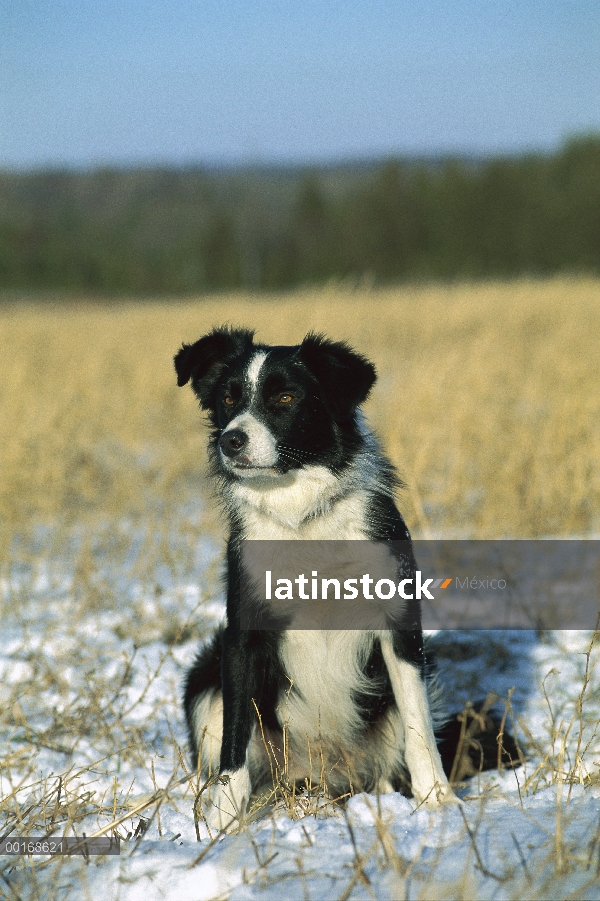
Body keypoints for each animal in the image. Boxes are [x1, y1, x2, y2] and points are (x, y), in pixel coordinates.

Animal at [172, 326, 516, 832]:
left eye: (286, 397)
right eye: (228, 398)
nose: (231, 441)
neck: (302, 516)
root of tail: (324, 773)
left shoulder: (400, 626)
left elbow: (417, 726)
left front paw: (437, 800)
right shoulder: (242, 636)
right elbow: (235, 738)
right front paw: (221, 824)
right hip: (204, 678)